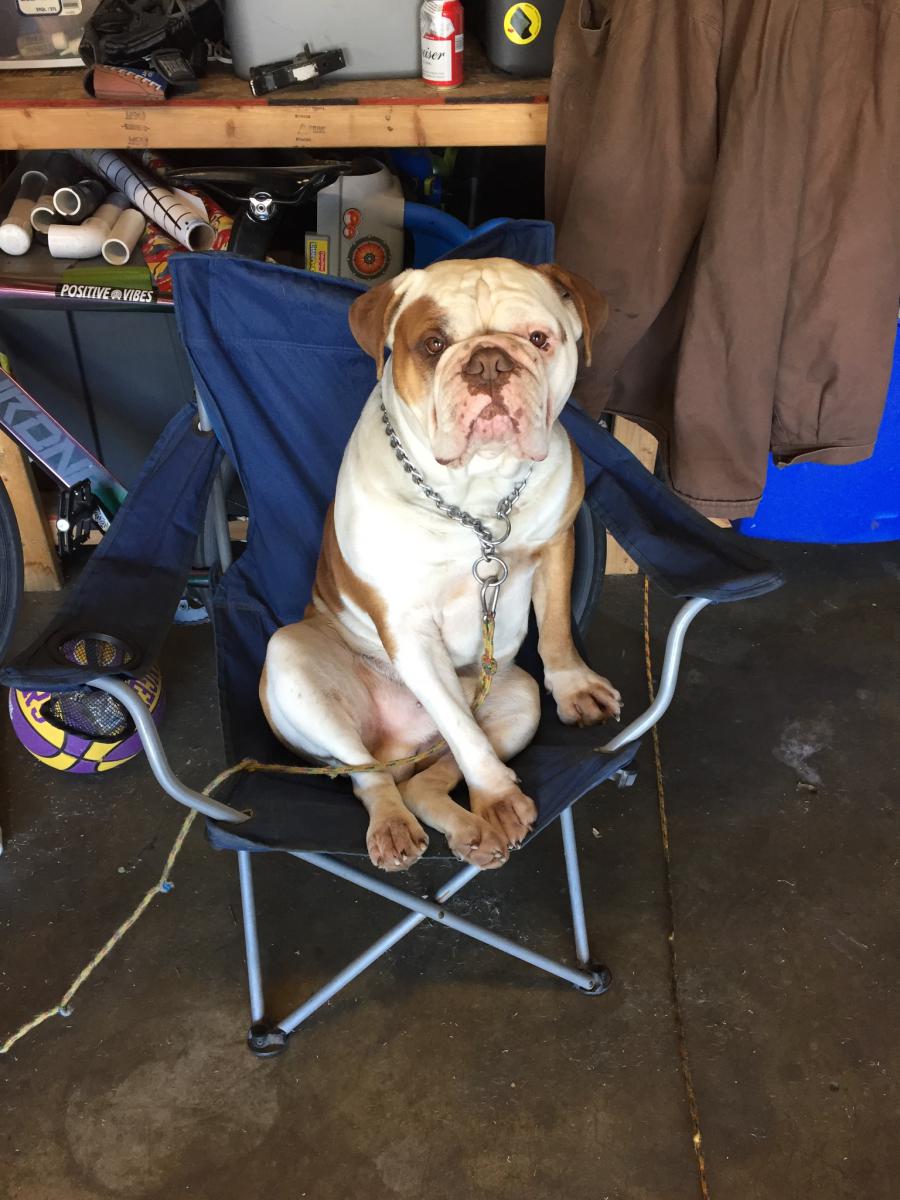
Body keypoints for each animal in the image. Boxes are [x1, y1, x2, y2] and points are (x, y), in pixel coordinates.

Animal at [260, 258, 621, 872]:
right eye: (433, 344)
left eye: (538, 339)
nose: (489, 360)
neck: (477, 495)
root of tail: (404, 744)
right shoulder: (407, 627)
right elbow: (459, 725)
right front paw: (496, 793)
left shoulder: (556, 543)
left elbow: (554, 629)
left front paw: (574, 689)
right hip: (295, 669)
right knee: (371, 775)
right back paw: (400, 826)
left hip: (515, 699)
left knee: (425, 779)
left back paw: (475, 826)